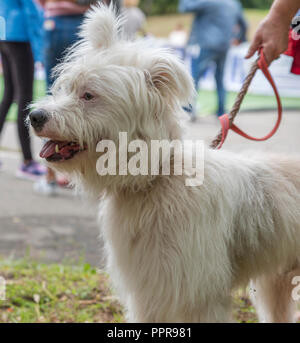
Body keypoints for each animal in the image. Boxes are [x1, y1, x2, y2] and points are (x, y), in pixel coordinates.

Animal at [31, 4, 300, 322]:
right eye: (66, 89)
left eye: (88, 95)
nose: (34, 117)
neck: (156, 178)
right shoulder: (150, 290)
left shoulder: (196, 295)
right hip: (277, 281)